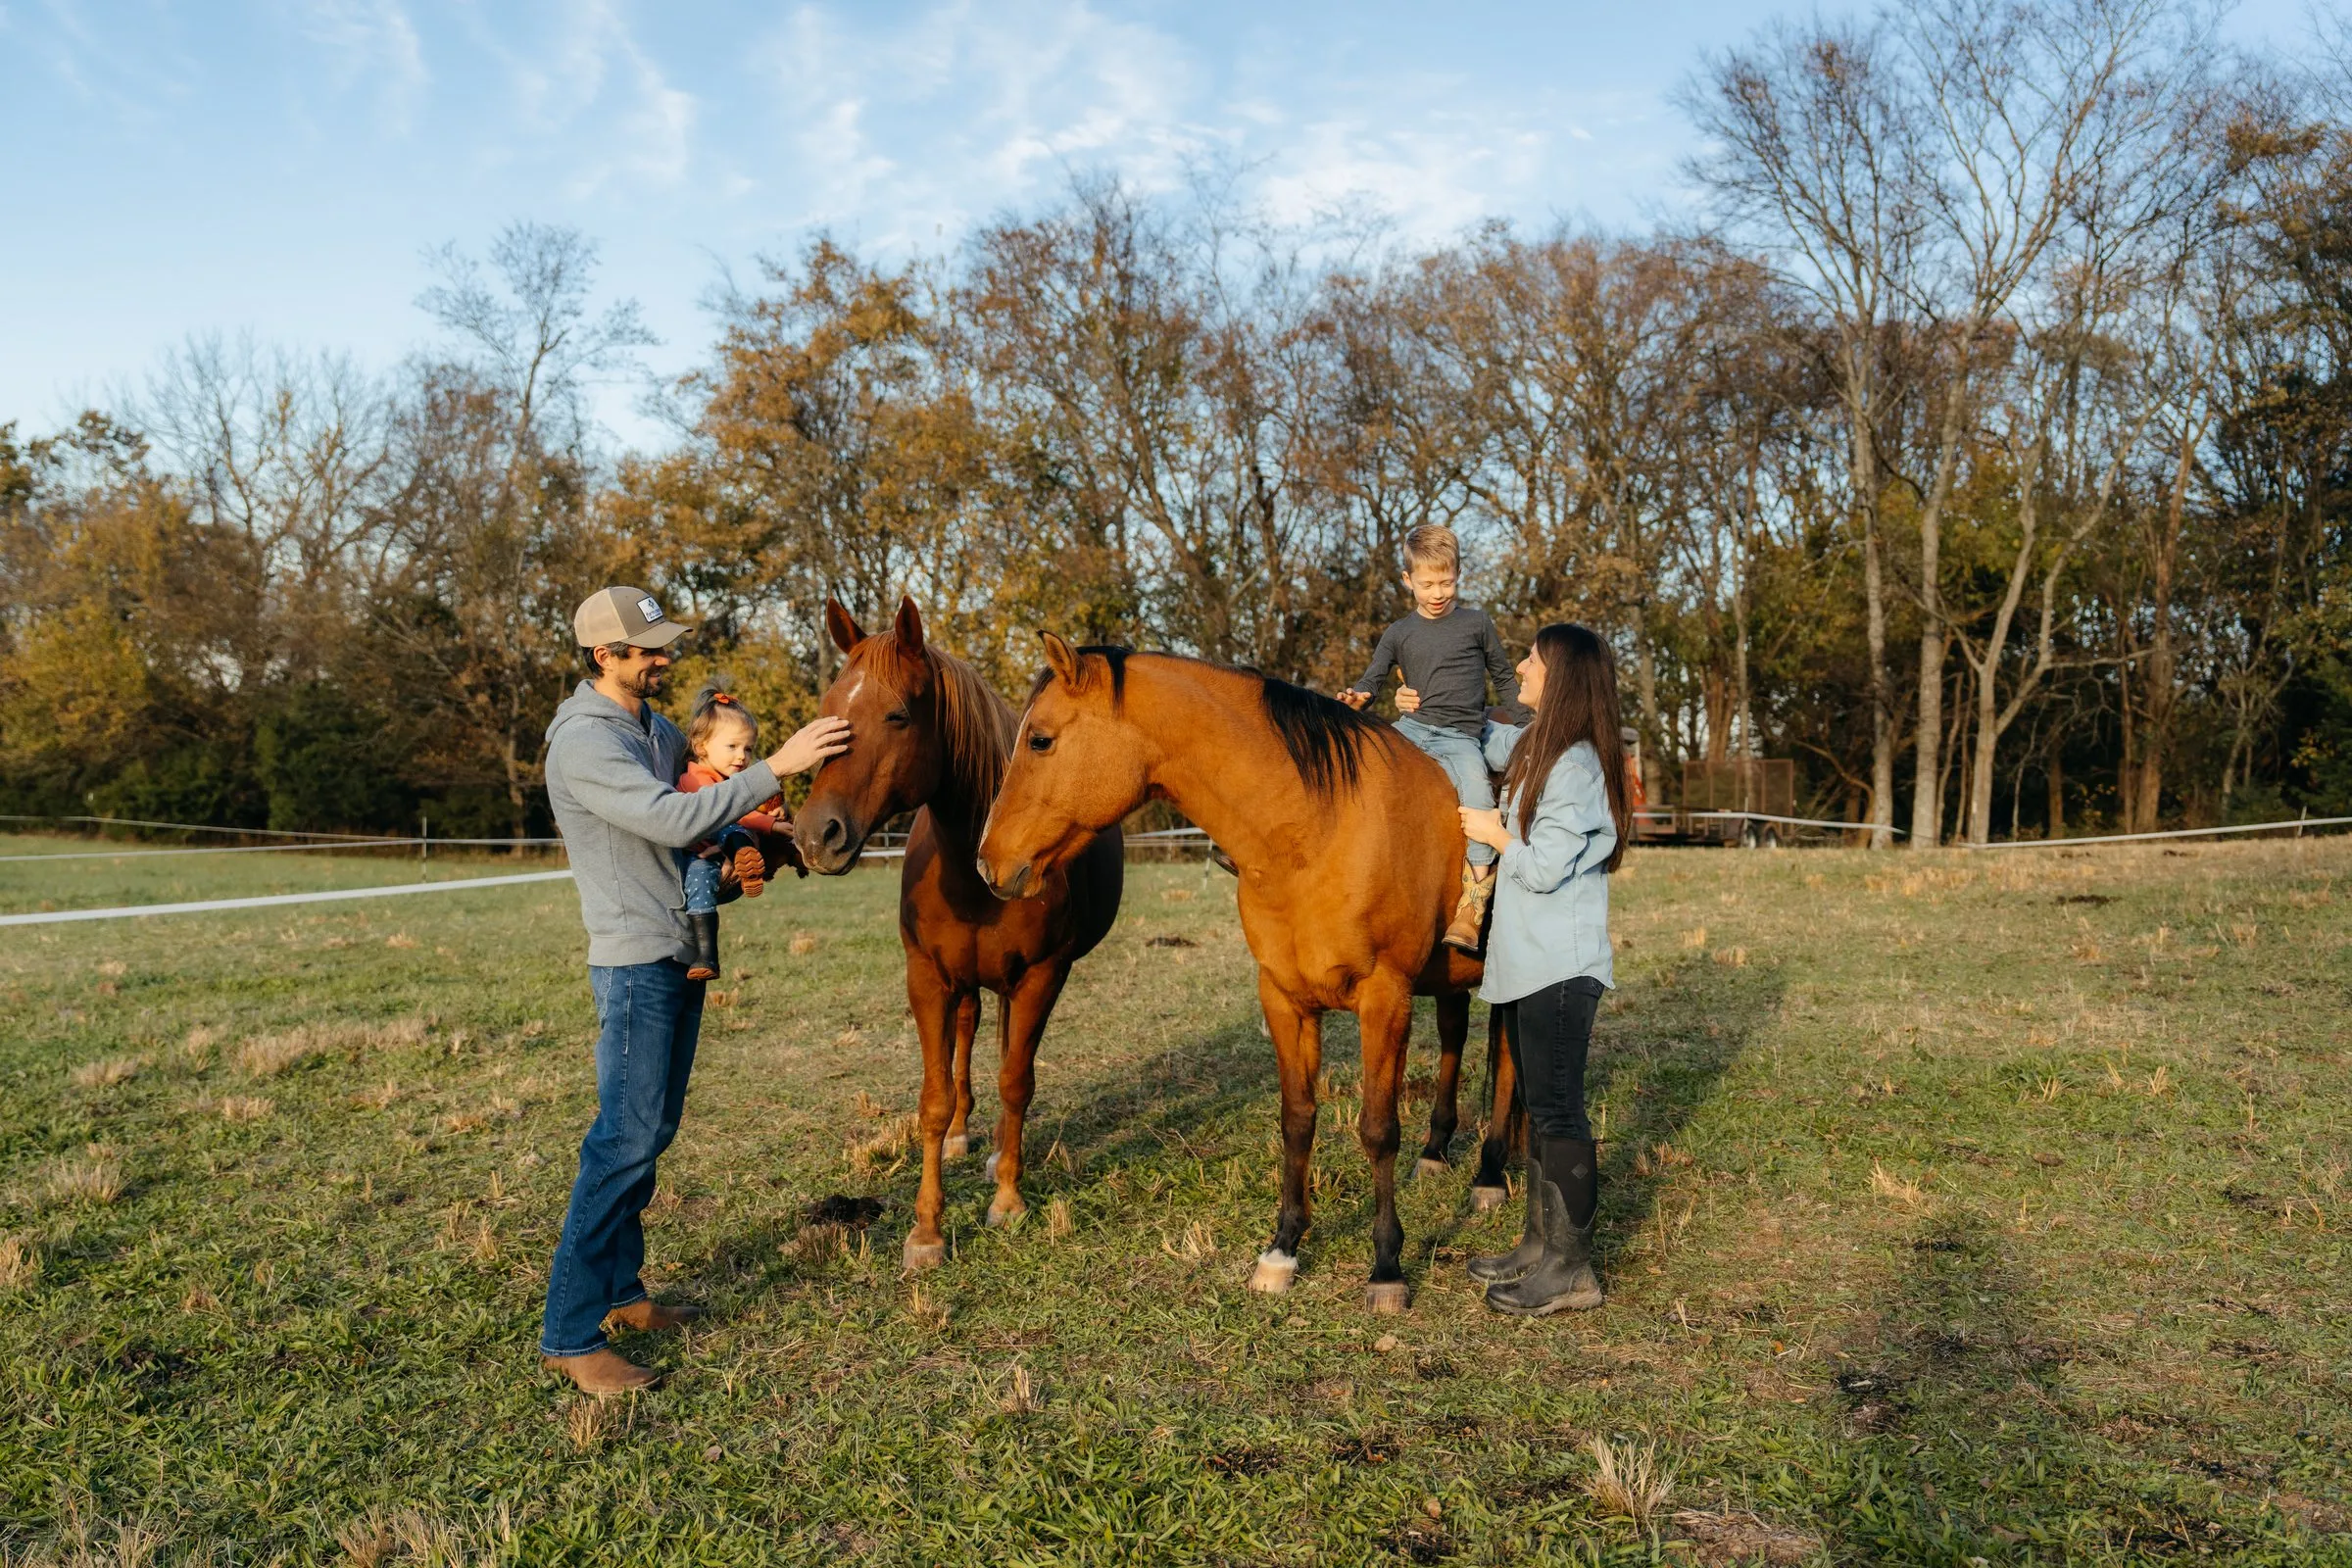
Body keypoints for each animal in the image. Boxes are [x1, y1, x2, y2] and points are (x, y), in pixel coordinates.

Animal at [795, 599, 1123, 1270]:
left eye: (897, 714)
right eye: (828, 711)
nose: (818, 836)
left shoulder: (1043, 975)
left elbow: (1017, 1081)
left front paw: (1008, 1200)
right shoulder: (927, 978)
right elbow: (934, 1097)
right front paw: (927, 1230)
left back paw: (998, 1150)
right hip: (966, 984)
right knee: (971, 1034)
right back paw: (966, 1136)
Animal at [977, 634, 1517, 1313]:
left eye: (1040, 740)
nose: (988, 863)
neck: (1318, 827)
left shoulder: (1384, 999)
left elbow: (1377, 1128)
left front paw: (1387, 1268)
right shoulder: (1284, 998)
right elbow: (1298, 1119)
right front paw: (1282, 1250)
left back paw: (1491, 1175)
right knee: (1460, 1042)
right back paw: (1443, 1155)